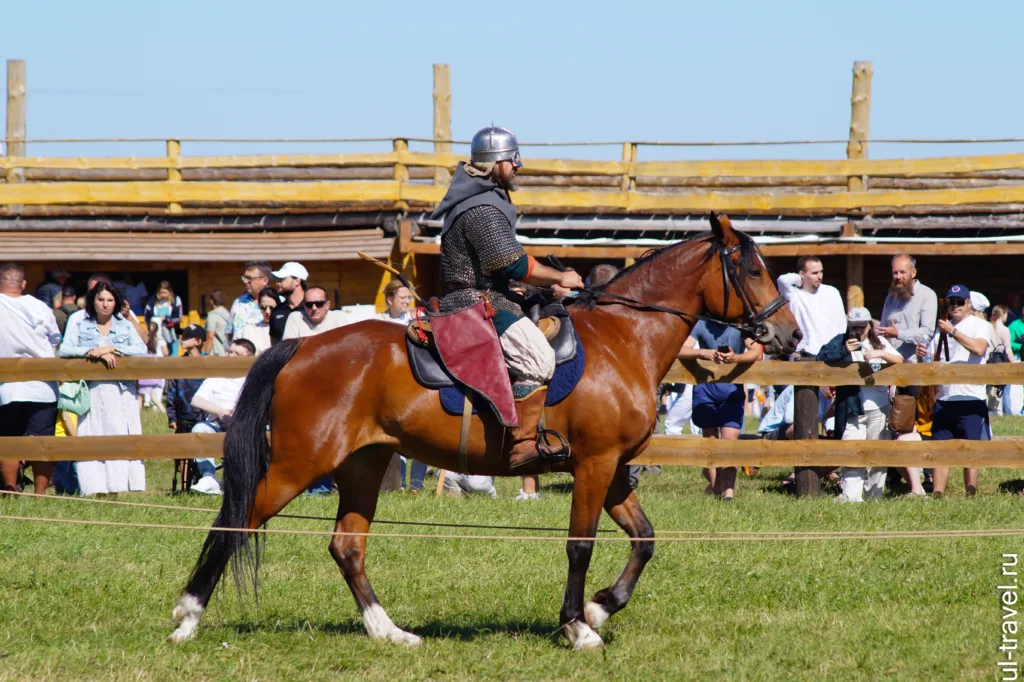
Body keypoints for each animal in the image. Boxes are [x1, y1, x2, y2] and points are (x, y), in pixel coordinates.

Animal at [172, 212, 802, 647]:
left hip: (363, 465)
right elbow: (580, 544)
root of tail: (302, 346)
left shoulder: (614, 467)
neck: (625, 337)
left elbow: (643, 539)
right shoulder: (594, 464)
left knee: (346, 547)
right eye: (752, 269)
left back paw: (388, 632)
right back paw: (187, 618)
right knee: (237, 523)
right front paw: (577, 626)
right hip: (299, 465)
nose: (791, 336)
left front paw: (601, 606)